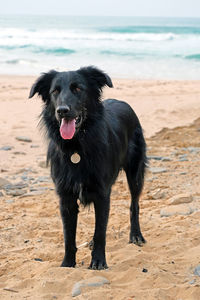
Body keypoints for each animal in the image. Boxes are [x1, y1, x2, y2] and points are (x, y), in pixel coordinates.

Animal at [28, 66, 146, 270]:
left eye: (78, 89)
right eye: (55, 91)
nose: (62, 111)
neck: (76, 147)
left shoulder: (102, 194)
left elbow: (100, 232)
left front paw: (98, 261)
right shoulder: (66, 197)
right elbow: (69, 236)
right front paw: (67, 264)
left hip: (135, 174)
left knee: (134, 205)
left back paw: (136, 235)